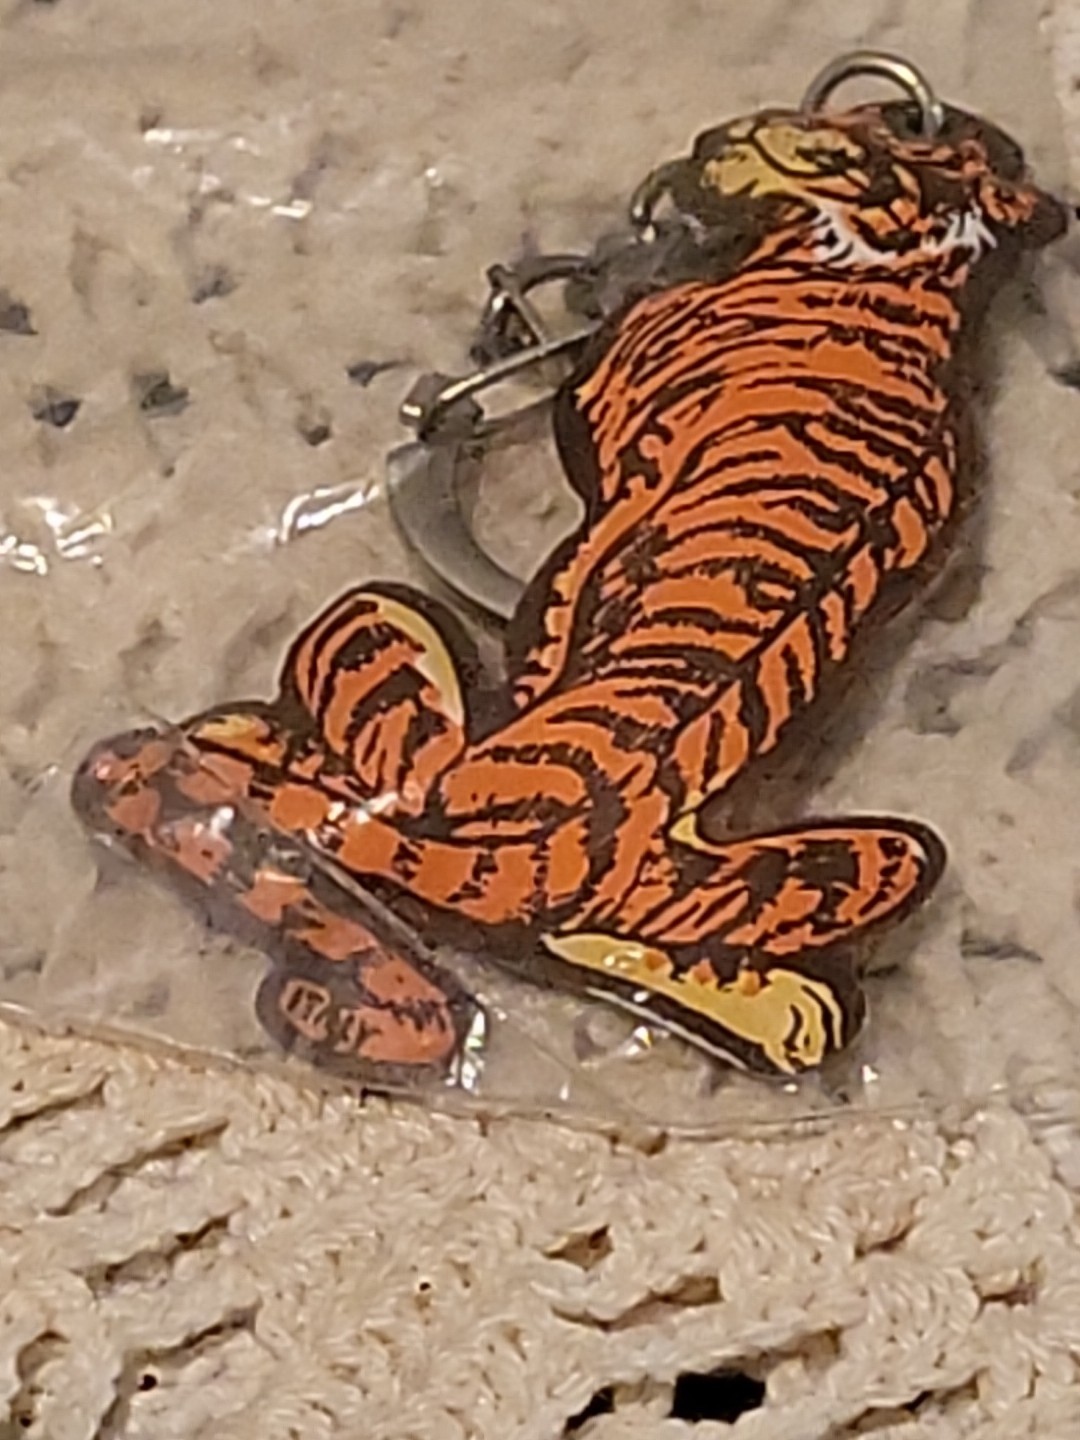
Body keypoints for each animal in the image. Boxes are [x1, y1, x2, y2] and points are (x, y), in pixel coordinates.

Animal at [72, 96, 1067, 1079]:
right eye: (902, 119)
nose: (739, 138)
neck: (899, 272)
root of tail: (524, 874)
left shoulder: (623, 480)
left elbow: (552, 611)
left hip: (365, 631)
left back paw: (257, 744)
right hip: (857, 859)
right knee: (610, 940)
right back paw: (770, 1002)